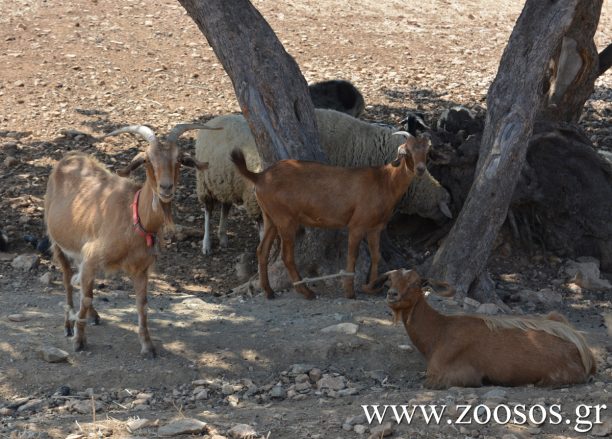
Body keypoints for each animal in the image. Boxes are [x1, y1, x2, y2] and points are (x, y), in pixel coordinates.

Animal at [44, 124, 215, 358]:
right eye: (147, 160)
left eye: (179, 159)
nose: (166, 188)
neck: (134, 217)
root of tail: (69, 157)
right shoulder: (91, 257)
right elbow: (86, 296)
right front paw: (79, 340)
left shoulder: (141, 269)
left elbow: (142, 305)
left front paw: (148, 346)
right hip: (56, 240)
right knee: (68, 278)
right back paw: (69, 324)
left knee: (78, 281)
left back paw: (92, 315)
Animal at [194, 108, 452, 256]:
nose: (445, 222)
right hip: (212, 183)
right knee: (210, 209)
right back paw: (207, 245)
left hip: (226, 183)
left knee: (225, 207)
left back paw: (223, 238)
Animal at [231, 132, 430, 300]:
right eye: (407, 151)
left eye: (427, 151)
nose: (420, 169)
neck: (385, 181)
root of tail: (259, 177)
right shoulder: (357, 224)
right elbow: (352, 256)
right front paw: (350, 292)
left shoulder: (375, 227)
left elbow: (376, 255)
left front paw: (371, 287)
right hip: (285, 218)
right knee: (286, 255)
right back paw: (306, 292)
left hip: (270, 216)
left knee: (262, 251)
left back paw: (269, 291)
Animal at [380, 268, 596, 388]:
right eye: (390, 281)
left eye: (416, 283)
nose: (392, 295)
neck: (440, 331)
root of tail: (585, 353)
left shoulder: (452, 374)